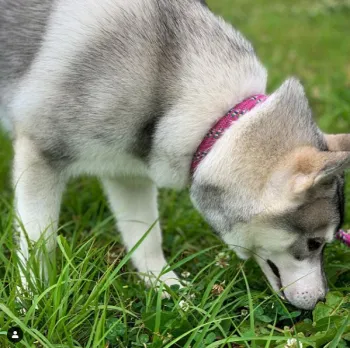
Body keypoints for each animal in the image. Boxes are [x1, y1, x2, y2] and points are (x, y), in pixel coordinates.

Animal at [0, 0, 350, 310]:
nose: (322, 300)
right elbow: (39, 242)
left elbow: (146, 235)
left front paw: (165, 286)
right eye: (314, 243)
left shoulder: (127, 173)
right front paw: (31, 297)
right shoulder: (39, 154)